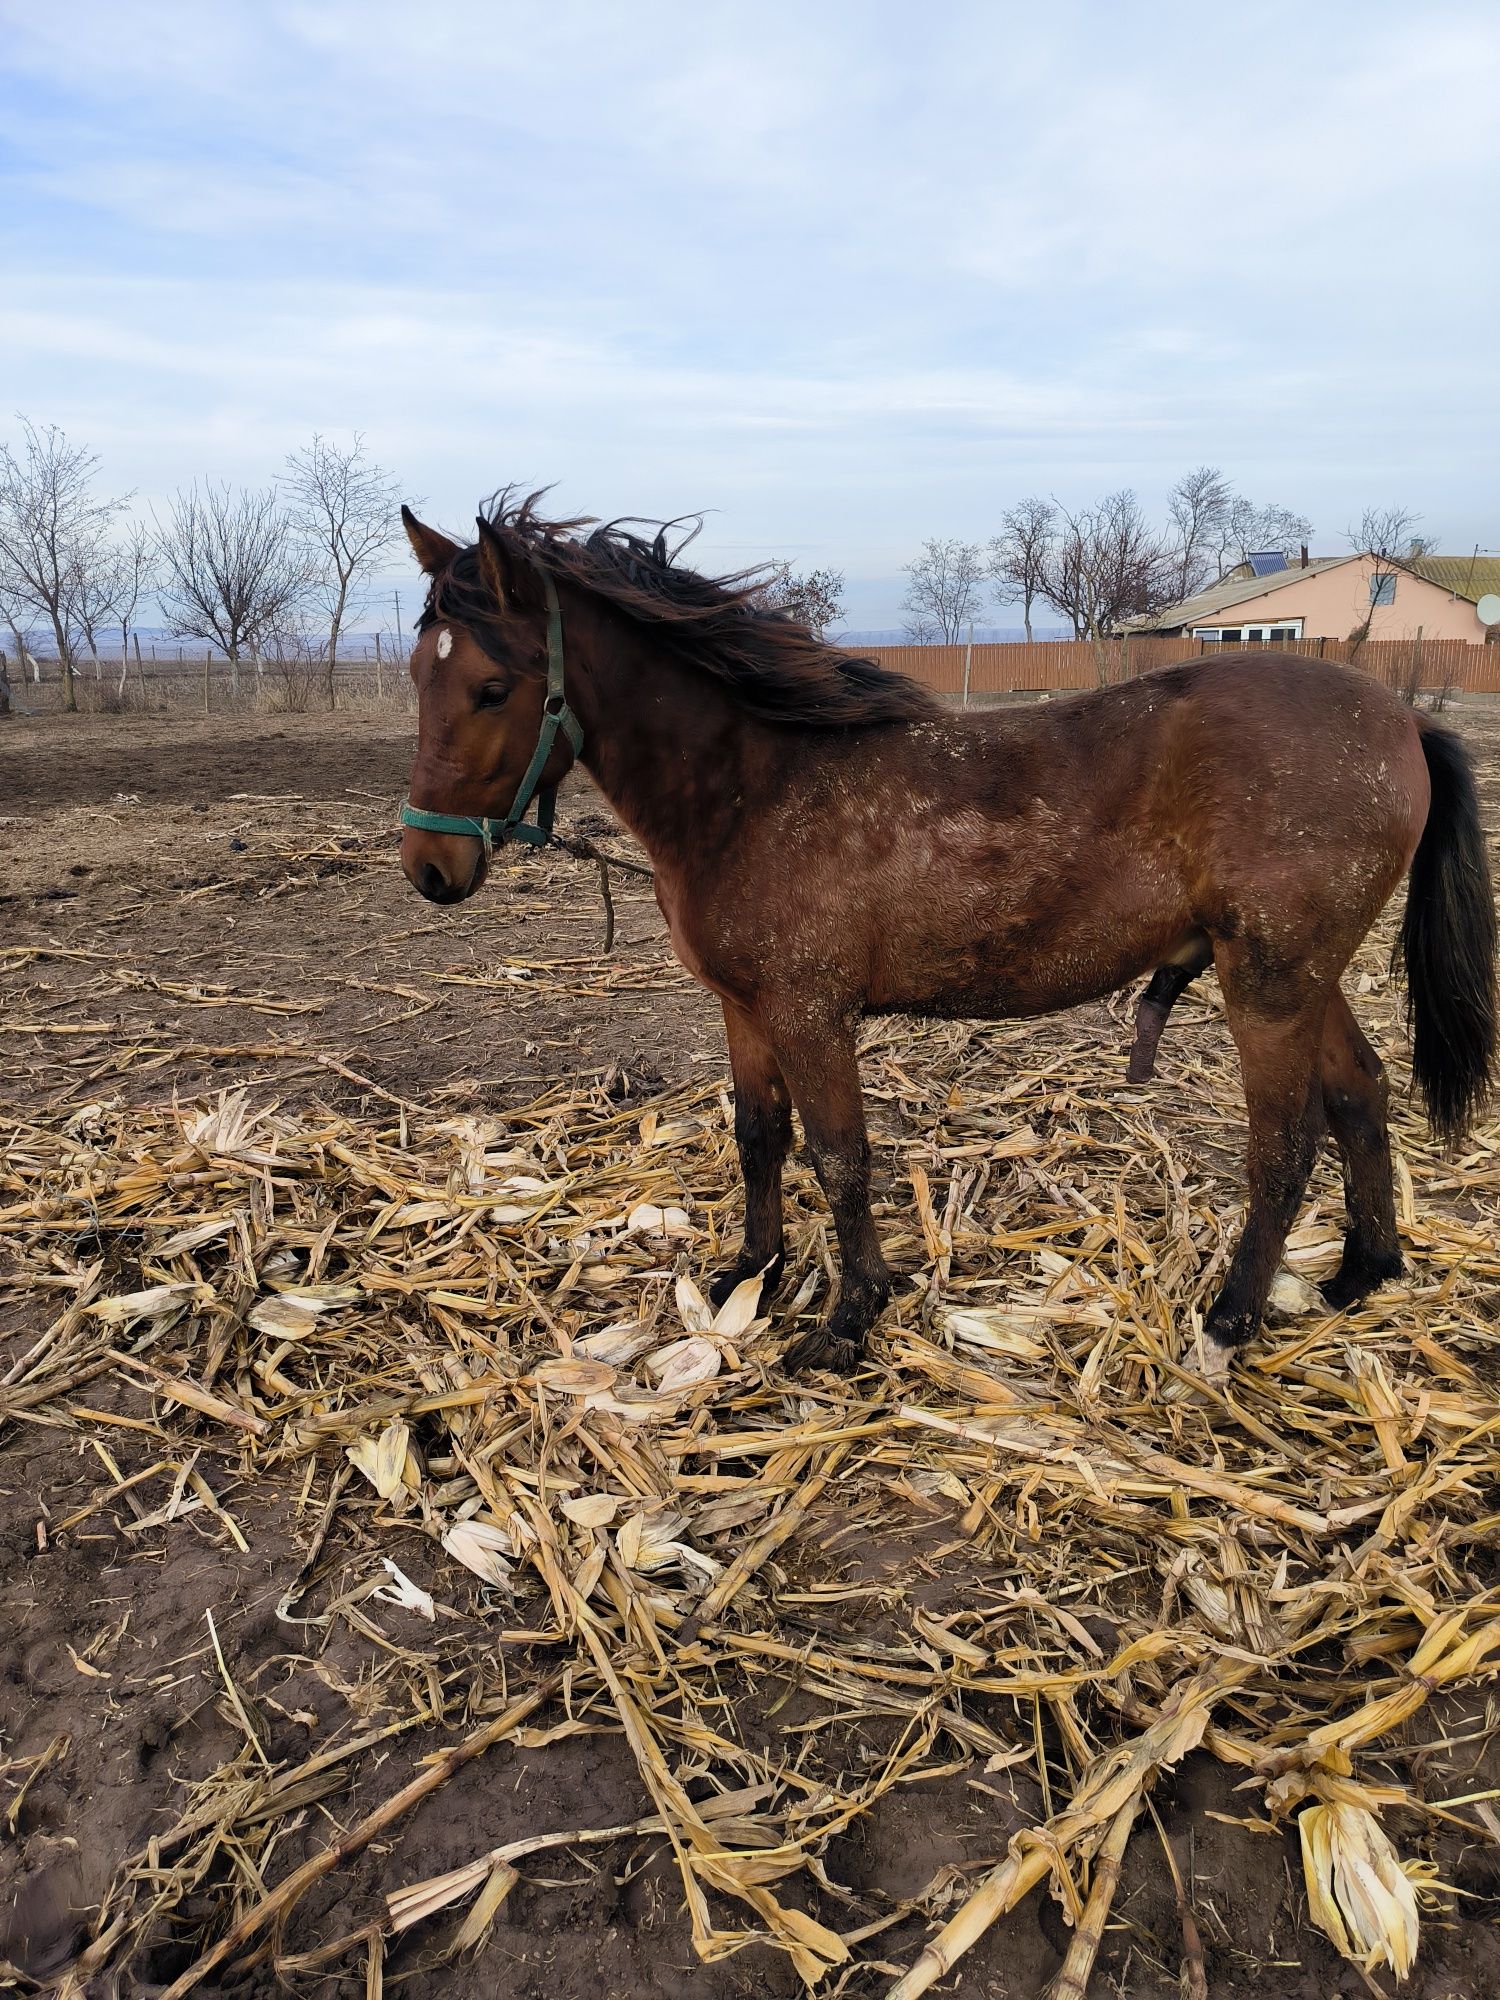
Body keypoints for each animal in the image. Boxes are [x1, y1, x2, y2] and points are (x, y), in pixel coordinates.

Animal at [402, 492, 1500, 1384]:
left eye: (494, 687)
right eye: (418, 674)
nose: (428, 868)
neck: (754, 788)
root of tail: (1399, 716)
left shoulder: (810, 1012)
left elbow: (840, 1156)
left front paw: (847, 1320)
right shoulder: (744, 1008)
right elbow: (759, 1136)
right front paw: (751, 1271)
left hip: (1268, 983)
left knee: (1284, 1142)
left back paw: (1230, 1322)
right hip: (1302, 976)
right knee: (1360, 1093)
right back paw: (1362, 1272)